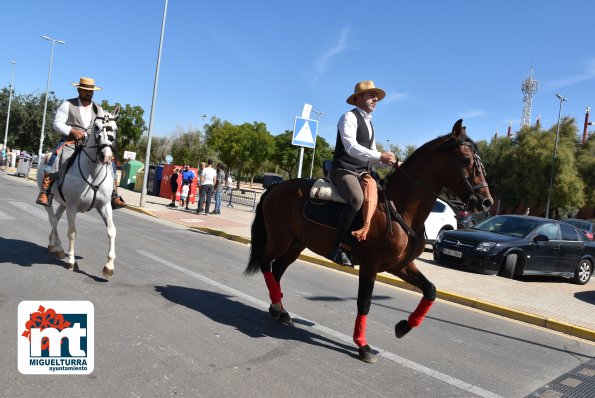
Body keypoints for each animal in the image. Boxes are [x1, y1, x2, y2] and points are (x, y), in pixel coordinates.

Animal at [35, 107, 120, 278]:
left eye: (114, 129)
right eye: (96, 127)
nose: (106, 156)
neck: (93, 172)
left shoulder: (105, 206)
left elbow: (111, 231)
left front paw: (109, 266)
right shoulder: (72, 207)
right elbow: (72, 233)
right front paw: (72, 261)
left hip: (63, 204)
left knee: (56, 218)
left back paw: (52, 244)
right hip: (51, 201)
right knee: (53, 219)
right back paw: (60, 248)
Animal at [243, 119, 494, 364]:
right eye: (466, 159)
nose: (486, 202)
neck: (399, 207)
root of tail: (276, 187)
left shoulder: (400, 265)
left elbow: (430, 291)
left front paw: (403, 327)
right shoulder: (370, 264)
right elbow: (364, 302)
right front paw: (363, 346)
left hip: (296, 244)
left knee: (277, 270)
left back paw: (279, 309)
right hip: (280, 240)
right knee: (266, 264)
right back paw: (277, 307)